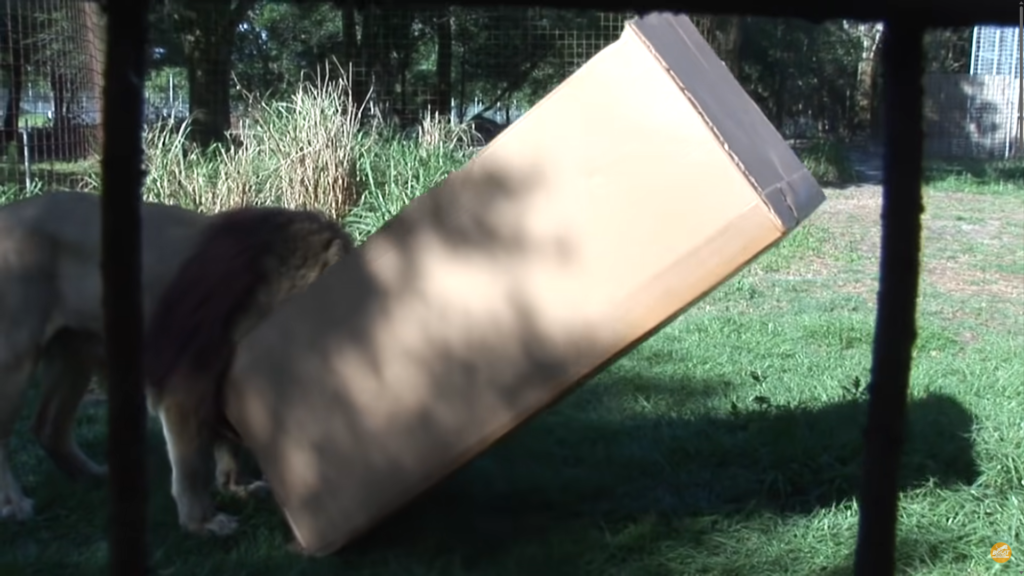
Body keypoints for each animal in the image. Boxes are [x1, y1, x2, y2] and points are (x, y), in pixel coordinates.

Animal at [142, 204, 354, 532]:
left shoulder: (221, 384)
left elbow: (227, 447)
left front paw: (237, 487)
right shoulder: (187, 384)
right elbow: (190, 466)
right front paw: (203, 523)